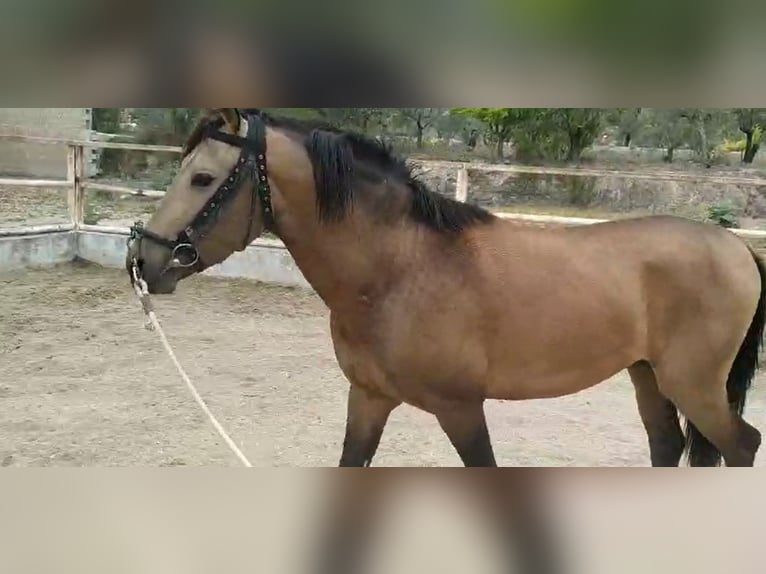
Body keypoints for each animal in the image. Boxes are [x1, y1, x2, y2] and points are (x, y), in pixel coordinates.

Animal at [127, 108, 766, 468]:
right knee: (669, 449)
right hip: (647, 376)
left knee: (740, 447)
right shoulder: (368, 398)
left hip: (694, 386)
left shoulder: (460, 409)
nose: (143, 259)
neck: (401, 269)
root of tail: (736, 247)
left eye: (202, 178)